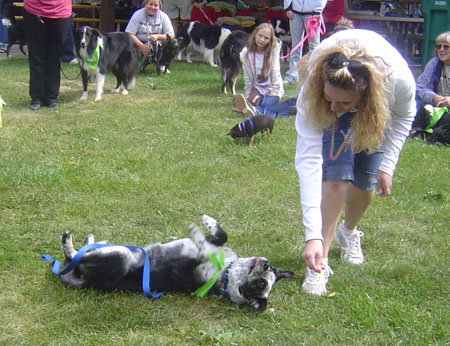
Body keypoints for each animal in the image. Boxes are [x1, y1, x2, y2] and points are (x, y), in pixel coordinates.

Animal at [54, 214, 294, 314]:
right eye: (272, 270)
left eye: (262, 285)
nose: (266, 265)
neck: (225, 274)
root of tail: (86, 281)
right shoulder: (215, 242)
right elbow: (222, 234)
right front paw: (207, 221)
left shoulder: (187, 263)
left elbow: (202, 247)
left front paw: (196, 231)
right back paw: (90, 239)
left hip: (120, 257)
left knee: (73, 257)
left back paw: (69, 242)